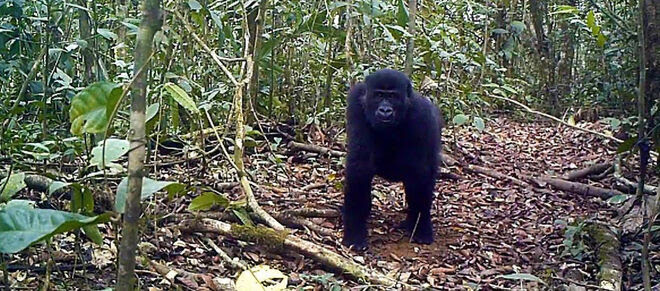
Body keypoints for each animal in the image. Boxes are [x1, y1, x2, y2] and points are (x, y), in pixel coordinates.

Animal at [340, 68, 444, 251]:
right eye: (379, 95)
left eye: (393, 96)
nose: (385, 110)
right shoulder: (356, 104)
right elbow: (360, 163)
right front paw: (354, 230)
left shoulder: (422, 115)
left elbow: (419, 172)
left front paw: (421, 227)